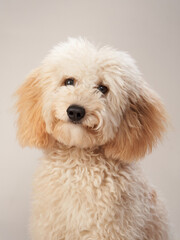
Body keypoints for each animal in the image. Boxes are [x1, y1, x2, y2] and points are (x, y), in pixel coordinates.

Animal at [15, 38, 170, 240]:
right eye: (69, 81)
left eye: (103, 88)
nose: (75, 111)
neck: (78, 164)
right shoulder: (50, 225)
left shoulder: (109, 230)